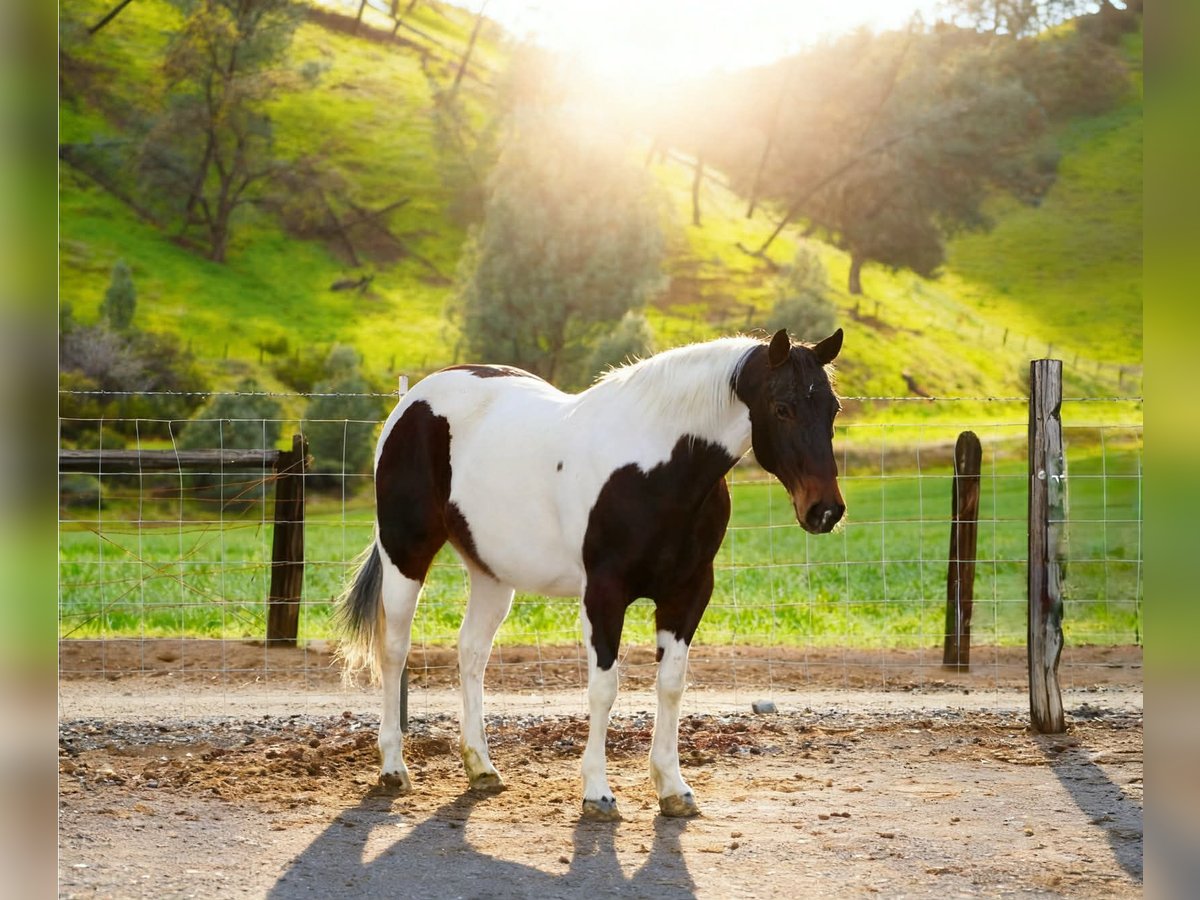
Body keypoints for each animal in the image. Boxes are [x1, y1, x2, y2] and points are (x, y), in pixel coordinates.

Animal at [339, 327, 845, 820]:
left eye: (832, 408)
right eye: (782, 408)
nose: (825, 511)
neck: (656, 470)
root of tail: (413, 400)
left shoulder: (688, 592)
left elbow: (671, 685)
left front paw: (673, 788)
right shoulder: (604, 593)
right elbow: (604, 688)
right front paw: (598, 794)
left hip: (491, 573)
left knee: (472, 653)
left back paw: (481, 767)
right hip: (405, 553)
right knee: (395, 651)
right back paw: (393, 769)